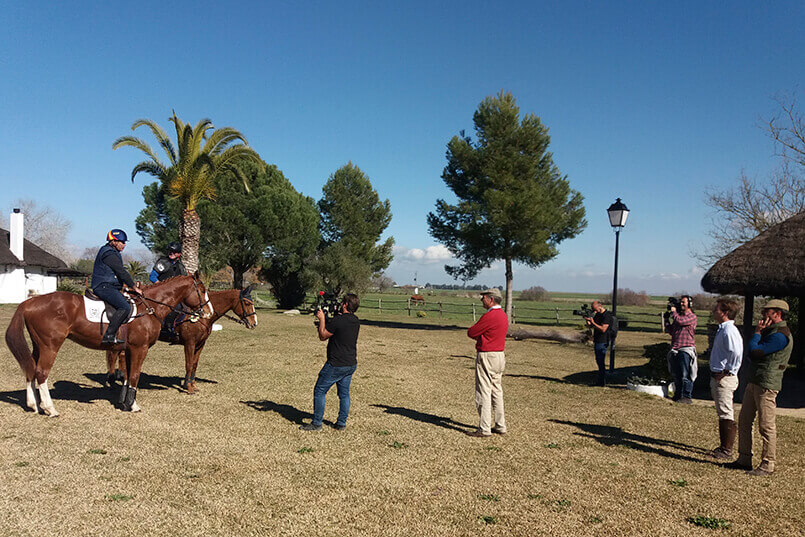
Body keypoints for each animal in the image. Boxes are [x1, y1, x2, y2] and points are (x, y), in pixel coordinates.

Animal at [3, 272, 215, 414]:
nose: (208, 312)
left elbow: (127, 375)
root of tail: (29, 302)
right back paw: (50, 408)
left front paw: (124, 402)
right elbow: (135, 375)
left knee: (30, 369)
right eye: (202, 290)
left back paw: (33, 405)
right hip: (50, 346)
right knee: (41, 373)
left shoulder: (128, 349)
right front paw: (133, 405)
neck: (149, 307)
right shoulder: (140, 349)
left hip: (38, 345)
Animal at [103, 284, 254, 394]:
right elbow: (189, 364)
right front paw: (188, 387)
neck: (201, 316)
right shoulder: (190, 343)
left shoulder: (200, 344)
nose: (254, 323)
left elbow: (194, 364)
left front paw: (193, 384)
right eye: (246, 303)